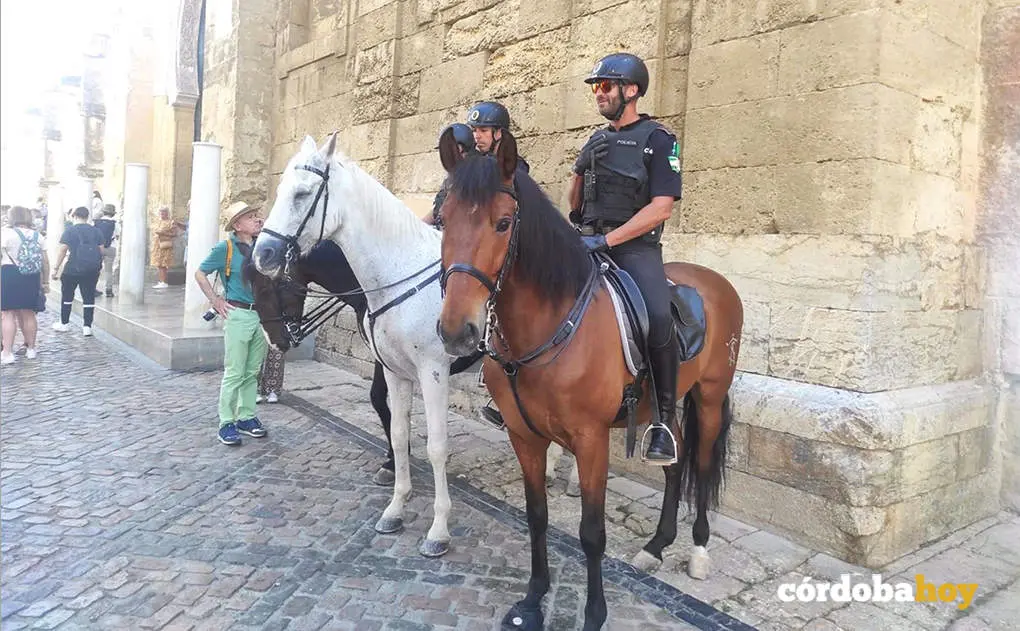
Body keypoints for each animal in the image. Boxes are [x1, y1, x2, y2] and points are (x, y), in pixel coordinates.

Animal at [434, 128, 743, 630]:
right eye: (442, 220)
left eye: (503, 223)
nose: (456, 330)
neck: (548, 325)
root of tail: (716, 281)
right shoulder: (525, 435)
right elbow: (536, 516)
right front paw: (533, 599)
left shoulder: (591, 439)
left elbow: (591, 533)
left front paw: (594, 613)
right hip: (663, 403)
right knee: (674, 459)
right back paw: (656, 545)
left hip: (711, 397)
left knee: (698, 465)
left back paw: (697, 550)